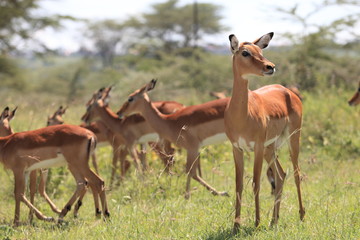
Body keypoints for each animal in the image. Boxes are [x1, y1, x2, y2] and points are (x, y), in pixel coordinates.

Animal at [228, 32, 304, 230]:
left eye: (260, 51)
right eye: (245, 52)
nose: (271, 67)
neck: (242, 117)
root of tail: (287, 91)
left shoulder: (257, 147)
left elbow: (256, 183)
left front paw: (256, 222)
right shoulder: (237, 149)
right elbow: (238, 185)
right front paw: (236, 226)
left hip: (293, 139)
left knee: (296, 174)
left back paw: (301, 216)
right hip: (270, 148)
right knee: (281, 175)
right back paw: (274, 220)